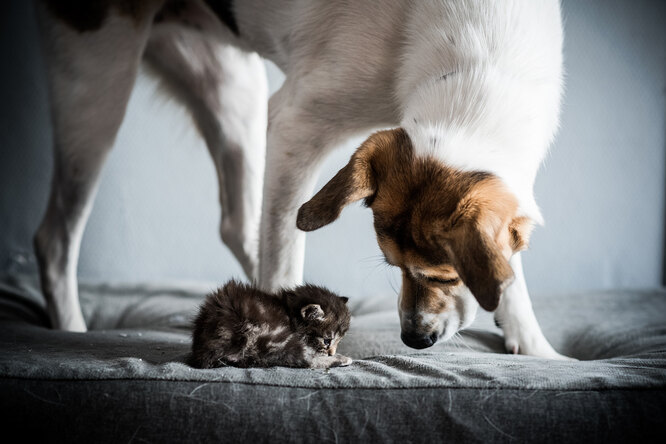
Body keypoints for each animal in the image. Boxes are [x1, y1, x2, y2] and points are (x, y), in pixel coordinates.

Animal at [35, 0, 564, 360]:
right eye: (393, 265)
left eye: (449, 276)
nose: (414, 339)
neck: (476, 66)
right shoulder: (292, 126)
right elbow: (285, 250)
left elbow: (510, 272)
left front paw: (537, 349)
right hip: (98, 84)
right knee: (55, 238)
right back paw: (71, 324)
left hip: (235, 89)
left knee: (239, 225)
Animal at [188, 280, 352, 370]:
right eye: (327, 341)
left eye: (339, 340)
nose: (331, 352)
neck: (288, 310)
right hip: (278, 337)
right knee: (306, 360)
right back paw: (344, 359)